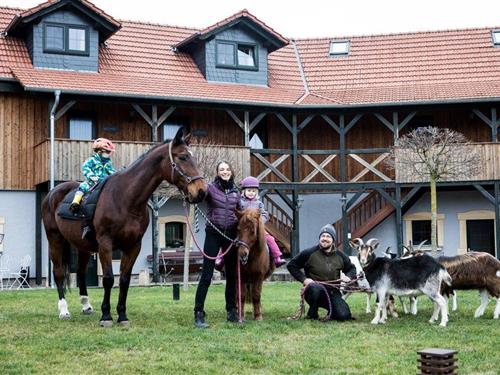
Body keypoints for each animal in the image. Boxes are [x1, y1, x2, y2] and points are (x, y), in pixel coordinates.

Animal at [42, 129, 207, 326]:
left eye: (194, 157)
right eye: (183, 157)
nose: (201, 191)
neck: (125, 198)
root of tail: (52, 193)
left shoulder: (133, 246)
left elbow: (125, 279)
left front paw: (122, 315)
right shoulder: (106, 244)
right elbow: (108, 279)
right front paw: (106, 316)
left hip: (83, 247)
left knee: (80, 273)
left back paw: (86, 305)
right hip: (55, 240)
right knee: (59, 273)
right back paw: (64, 310)